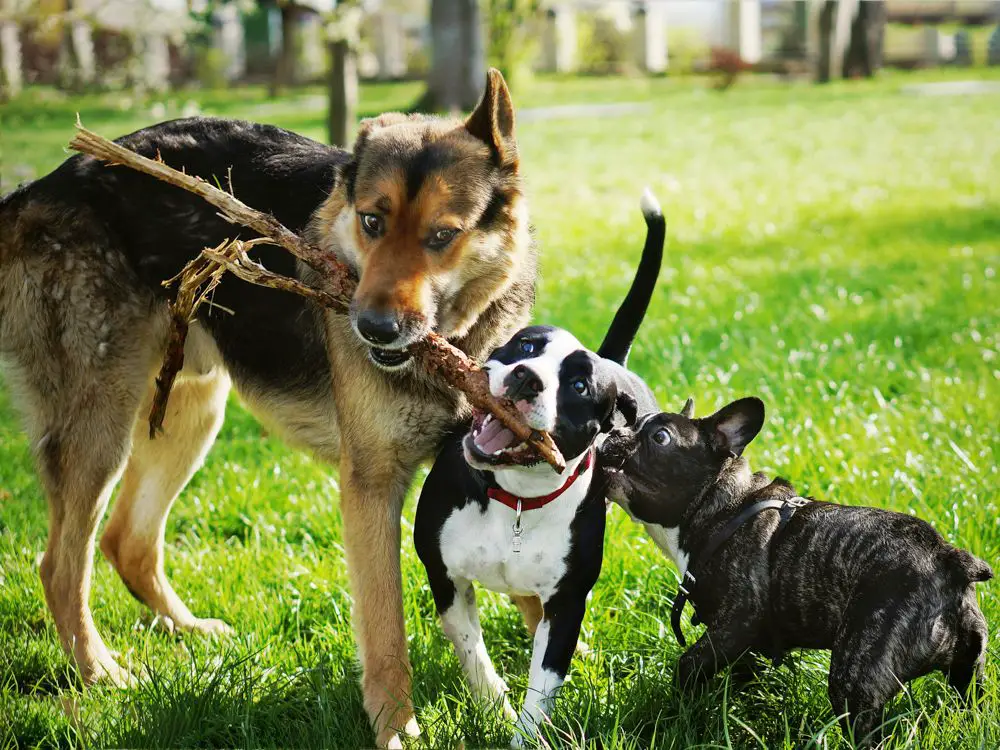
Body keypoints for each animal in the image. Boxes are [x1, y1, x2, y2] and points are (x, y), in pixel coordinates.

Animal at [0, 69, 536, 748]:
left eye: (442, 236)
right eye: (371, 222)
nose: (373, 329)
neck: (457, 346)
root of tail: (41, 187)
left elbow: (532, 595)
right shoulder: (371, 487)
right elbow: (385, 628)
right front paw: (395, 727)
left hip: (189, 412)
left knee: (128, 542)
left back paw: (187, 632)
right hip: (103, 428)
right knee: (60, 566)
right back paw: (102, 674)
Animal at [414, 192, 664, 748]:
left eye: (578, 386)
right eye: (527, 346)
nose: (528, 378)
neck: (516, 499)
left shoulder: (566, 603)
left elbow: (543, 684)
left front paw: (523, 731)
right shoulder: (446, 578)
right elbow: (474, 655)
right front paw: (493, 712)